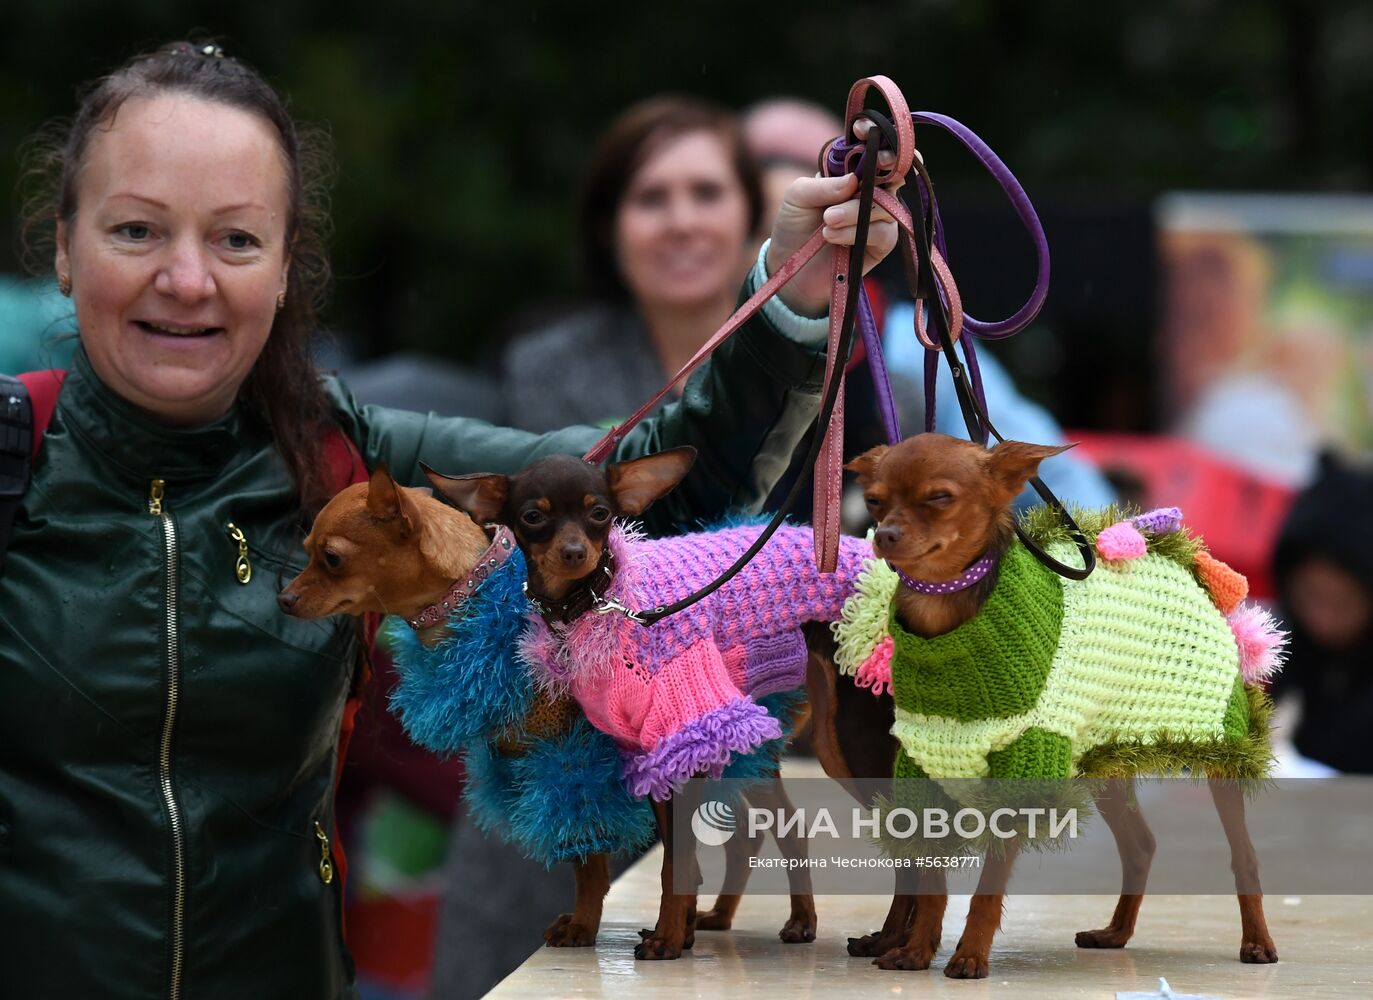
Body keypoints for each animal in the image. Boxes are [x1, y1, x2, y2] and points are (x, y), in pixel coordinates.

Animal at [834, 436, 1285, 978]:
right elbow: (929, 877)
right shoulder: (922, 763)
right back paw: (1115, 933)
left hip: (1219, 747)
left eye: (940, 498)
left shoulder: (1025, 767)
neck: (944, 621)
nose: (884, 535)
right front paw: (917, 950)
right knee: (1140, 845)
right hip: (1108, 754)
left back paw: (1257, 942)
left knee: (1244, 856)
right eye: (875, 501)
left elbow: (986, 888)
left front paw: (969, 955)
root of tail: (1176, 559)